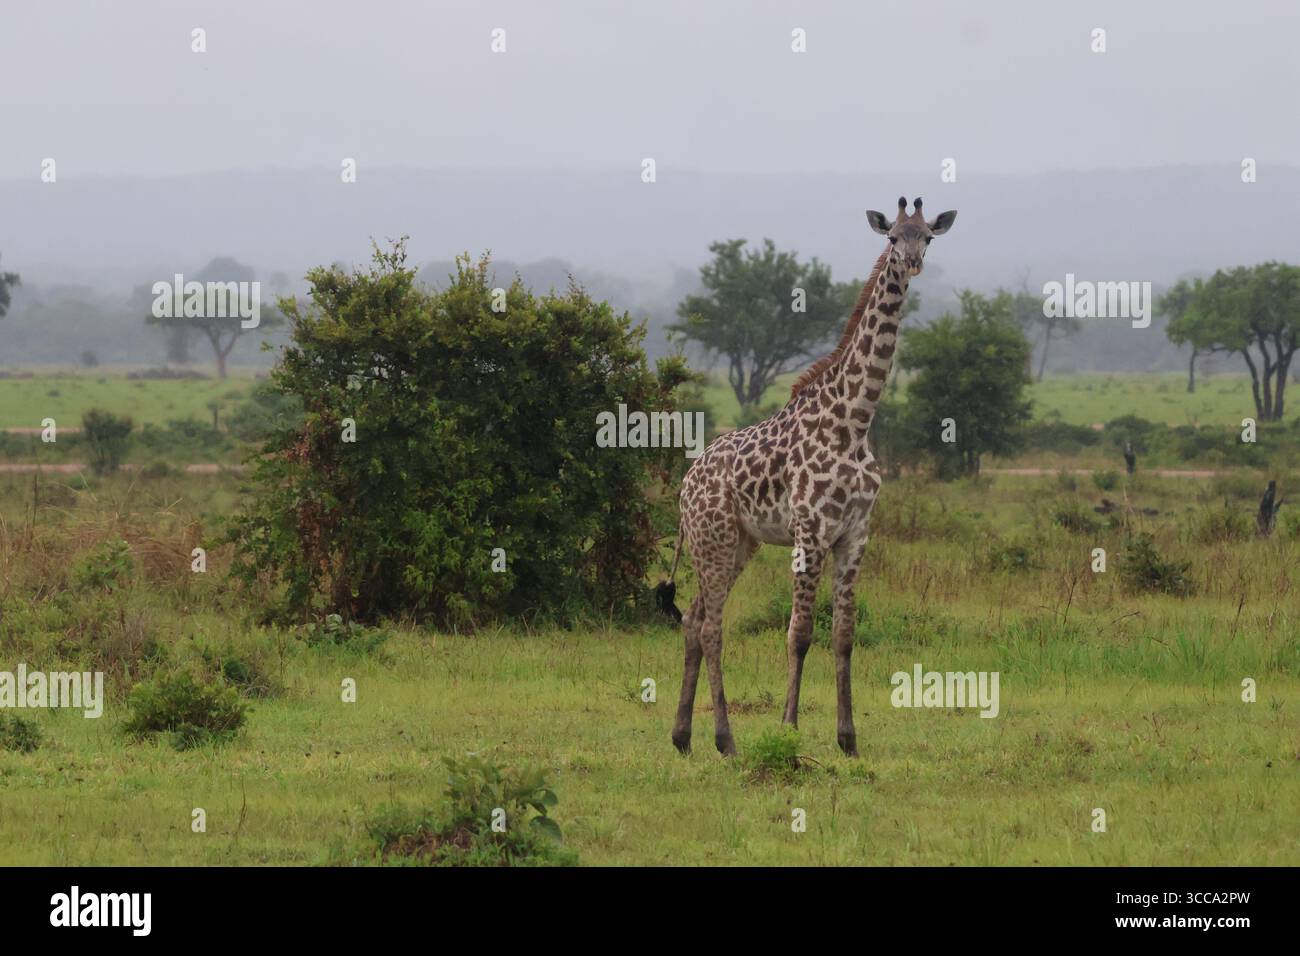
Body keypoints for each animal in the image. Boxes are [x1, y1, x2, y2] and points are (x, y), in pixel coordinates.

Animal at [664, 197, 957, 756]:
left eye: (928, 237)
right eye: (893, 238)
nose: (911, 264)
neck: (855, 422)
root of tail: (687, 481)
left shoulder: (855, 534)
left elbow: (843, 635)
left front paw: (848, 739)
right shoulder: (810, 531)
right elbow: (799, 634)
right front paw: (788, 730)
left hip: (740, 543)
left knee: (692, 619)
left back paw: (683, 737)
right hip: (713, 540)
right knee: (711, 628)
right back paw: (725, 740)